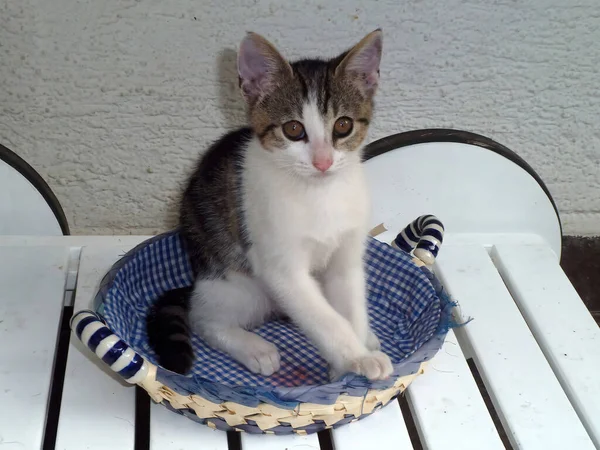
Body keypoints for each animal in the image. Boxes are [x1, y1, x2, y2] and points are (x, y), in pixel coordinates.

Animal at [148, 29, 394, 380]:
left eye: (343, 125)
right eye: (293, 129)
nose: (322, 162)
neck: (319, 192)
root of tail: (196, 278)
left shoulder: (347, 257)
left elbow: (350, 304)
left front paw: (351, 360)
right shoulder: (281, 269)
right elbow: (326, 320)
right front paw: (357, 358)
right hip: (236, 282)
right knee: (202, 316)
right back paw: (254, 348)